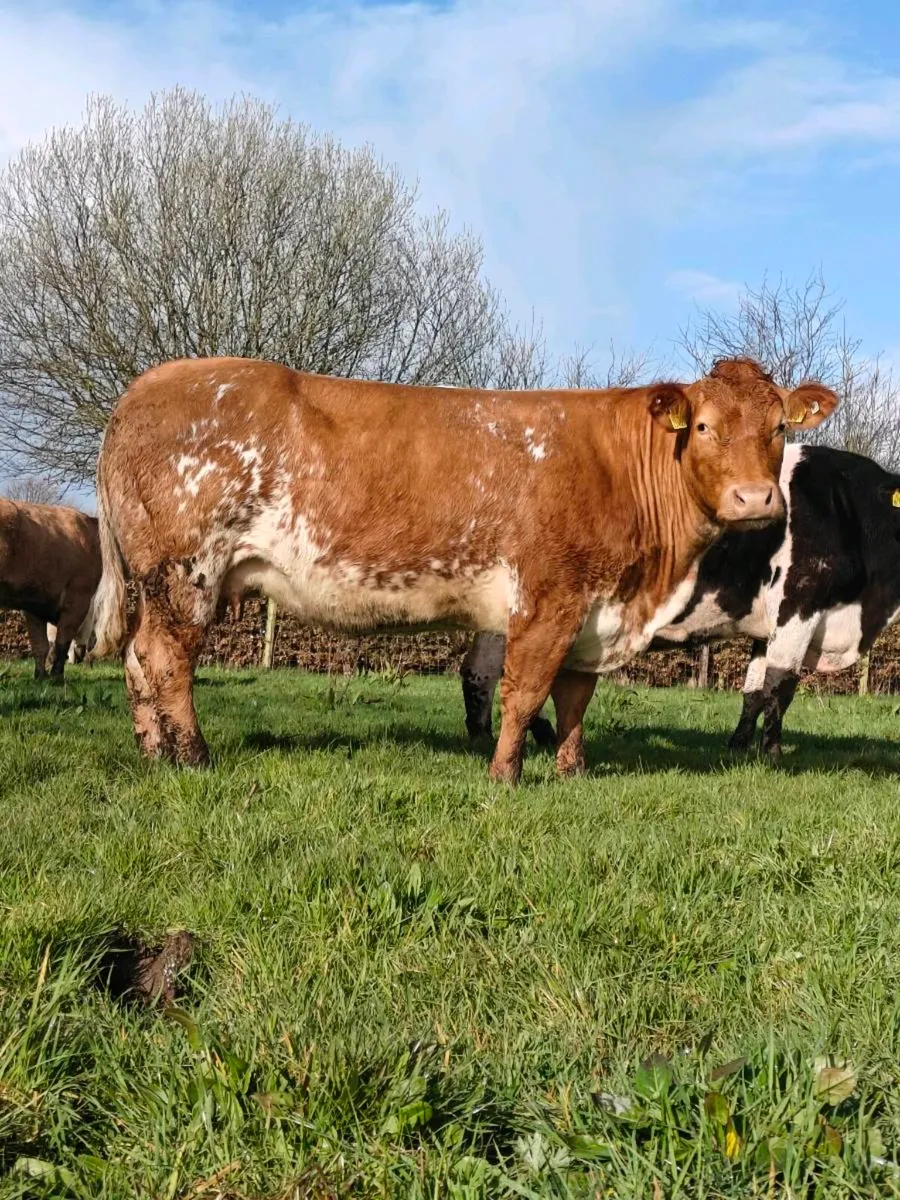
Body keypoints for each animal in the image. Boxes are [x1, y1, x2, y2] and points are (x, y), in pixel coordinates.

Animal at [0, 499, 100, 681]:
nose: (80, 657)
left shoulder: (34, 604)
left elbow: (40, 644)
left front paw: (40, 676)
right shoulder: (78, 597)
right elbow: (62, 640)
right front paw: (56, 677)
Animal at [89, 356, 836, 781]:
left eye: (779, 427)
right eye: (704, 425)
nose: (756, 499)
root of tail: (147, 385)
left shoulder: (594, 612)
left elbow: (575, 697)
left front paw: (572, 770)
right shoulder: (548, 597)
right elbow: (525, 692)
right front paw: (506, 773)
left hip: (160, 581)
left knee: (135, 659)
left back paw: (153, 754)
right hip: (187, 570)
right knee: (166, 660)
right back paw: (192, 756)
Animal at [462, 442, 896, 766]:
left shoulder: (765, 626)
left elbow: (754, 691)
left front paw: (738, 748)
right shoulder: (800, 603)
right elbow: (781, 685)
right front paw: (773, 755)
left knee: (479, 670)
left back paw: (487, 735)